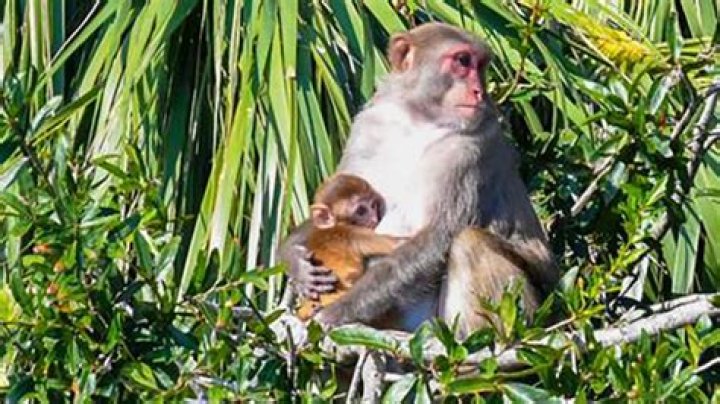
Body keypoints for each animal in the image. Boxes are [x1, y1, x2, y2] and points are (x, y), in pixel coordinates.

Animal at [295, 174, 404, 322]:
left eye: (373, 205)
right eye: (361, 211)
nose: (374, 219)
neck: (333, 226)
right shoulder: (352, 234)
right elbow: (398, 245)